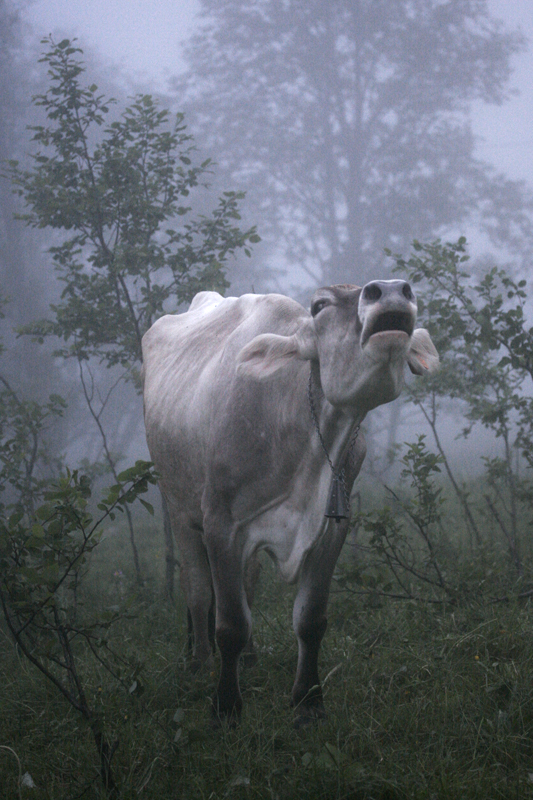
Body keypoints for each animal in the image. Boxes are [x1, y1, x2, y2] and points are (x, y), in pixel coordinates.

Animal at [141, 282, 436, 724]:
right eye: (320, 305)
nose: (390, 289)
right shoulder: (221, 524)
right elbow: (228, 623)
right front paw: (226, 705)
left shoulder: (332, 526)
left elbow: (310, 620)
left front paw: (308, 701)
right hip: (179, 507)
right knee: (196, 589)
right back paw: (199, 661)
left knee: (246, 586)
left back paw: (248, 658)